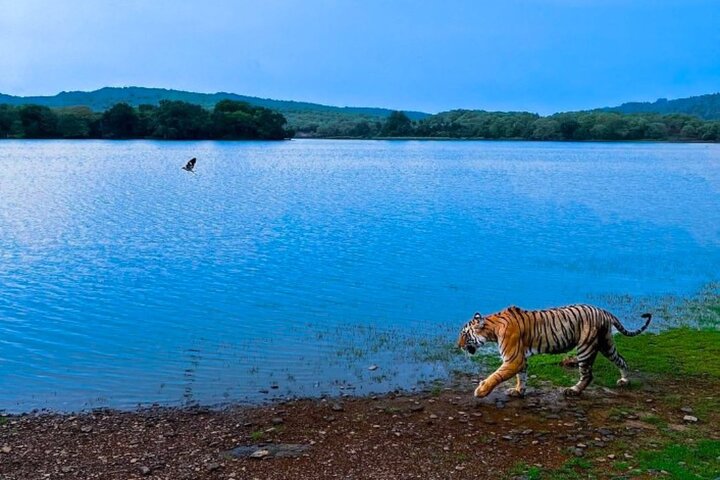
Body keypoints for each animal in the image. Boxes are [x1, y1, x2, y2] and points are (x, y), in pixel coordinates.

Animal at [456, 304, 652, 398]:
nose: (457, 346)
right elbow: (522, 377)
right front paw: (519, 391)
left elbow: (496, 376)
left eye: (464, 335)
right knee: (622, 360)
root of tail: (604, 311)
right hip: (607, 344)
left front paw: (481, 391)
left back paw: (573, 391)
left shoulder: (513, 359)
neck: (492, 328)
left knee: (588, 375)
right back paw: (624, 380)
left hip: (585, 348)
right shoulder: (521, 359)